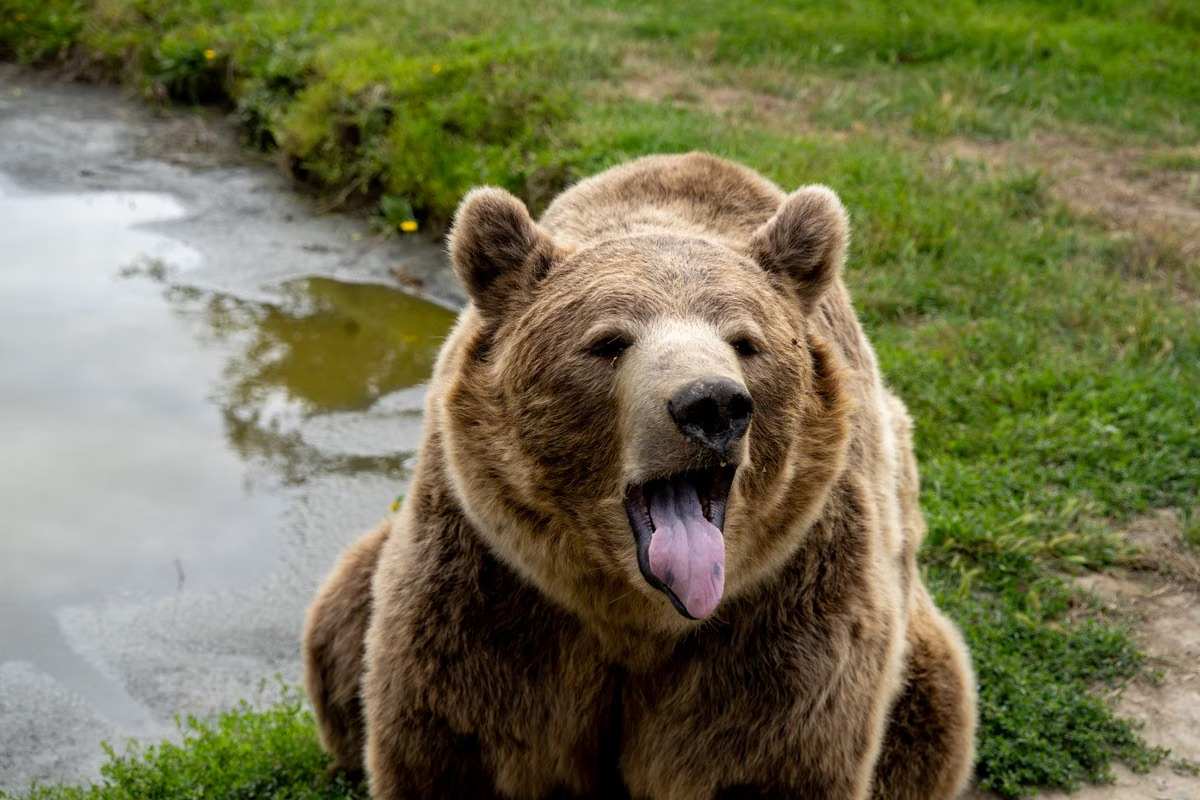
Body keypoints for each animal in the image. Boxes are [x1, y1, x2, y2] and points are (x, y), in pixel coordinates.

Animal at [303, 152, 977, 799]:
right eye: (608, 341)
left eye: (746, 341)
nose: (713, 405)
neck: (638, 615)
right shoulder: (493, 591)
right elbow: (449, 738)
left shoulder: (786, 614)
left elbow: (779, 754)